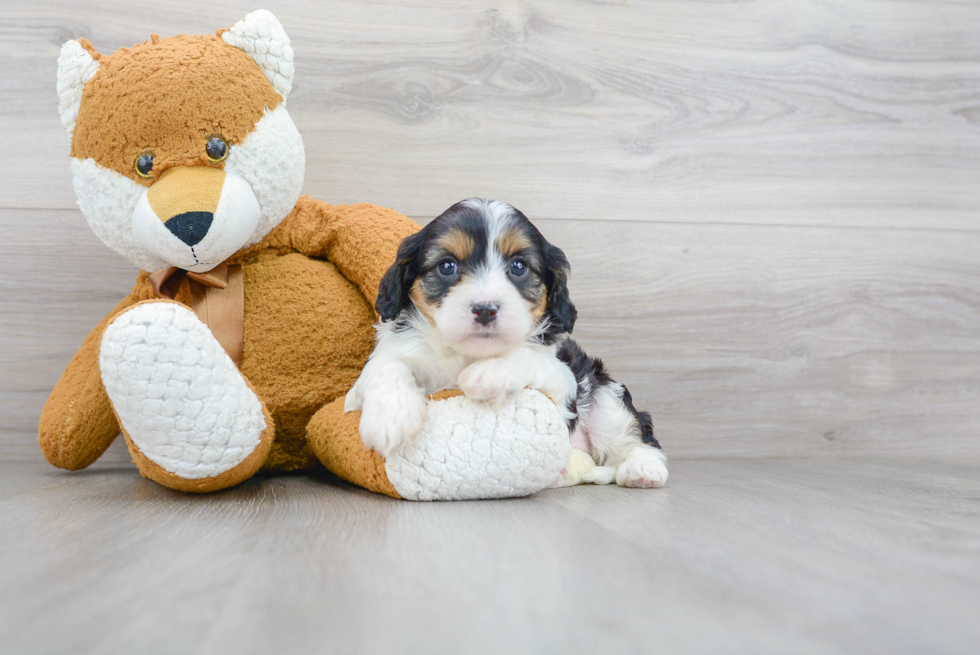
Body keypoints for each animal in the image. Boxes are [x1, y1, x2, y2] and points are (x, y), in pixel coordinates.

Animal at [342, 197, 668, 490]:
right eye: (447, 266)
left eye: (518, 267)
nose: (485, 309)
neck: (467, 353)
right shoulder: (385, 360)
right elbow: (385, 367)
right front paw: (390, 416)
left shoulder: (562, 377)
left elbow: (526, 357)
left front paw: (489, 373)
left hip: (605, 393)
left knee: (637, 439)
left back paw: (643, 469)